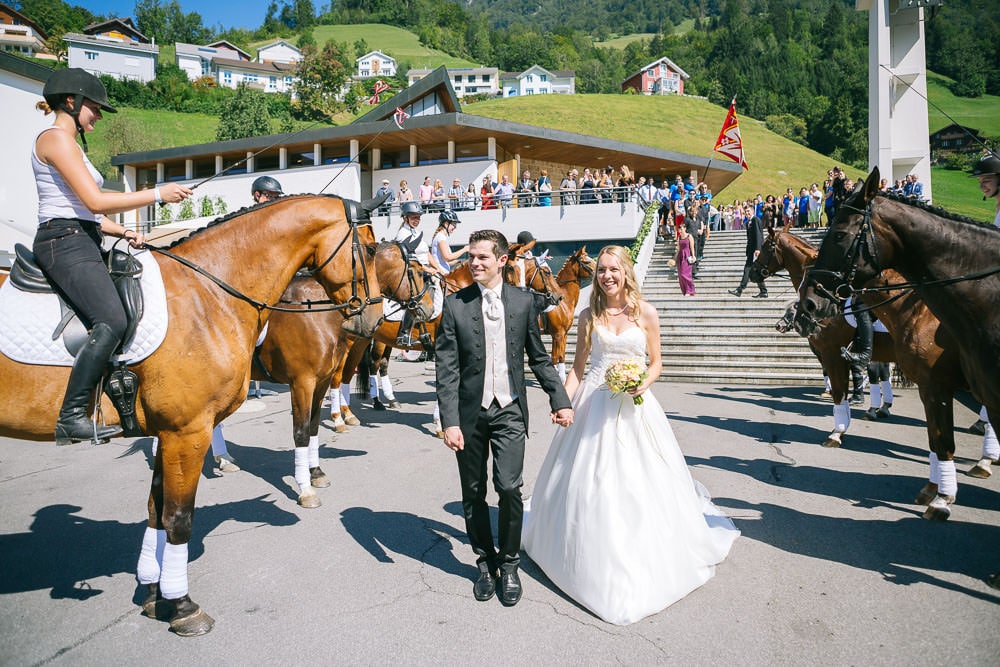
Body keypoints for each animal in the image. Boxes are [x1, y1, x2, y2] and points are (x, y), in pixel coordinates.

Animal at [0, 194, 382, 636]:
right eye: (370, 248)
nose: (375, 318)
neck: (208, 293)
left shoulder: (178, 429)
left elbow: (156, 510)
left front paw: (153, 594)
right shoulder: (197, 426)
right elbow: (180, 516)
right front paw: (182, 605)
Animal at [252, 243, 432, 508]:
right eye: (419, 272)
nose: (430, 309)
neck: (315, 311)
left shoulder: (321, 380)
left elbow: (313, 426)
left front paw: (315, 472)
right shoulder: (302, 382)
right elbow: (301, 431)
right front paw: (305, 488)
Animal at [752, 227, 972, 520]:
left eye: (766, 245)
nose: (754, 272)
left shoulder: (832, 353)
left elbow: (840, 392)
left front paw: (837, 432)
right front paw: (868, 411)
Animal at [796, 171, 1000, 528]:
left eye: (838, 234)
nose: (808, 306)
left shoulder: (932, 384)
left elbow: (940, 439)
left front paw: (942, 499)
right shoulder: (930, 385)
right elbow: (934, 437)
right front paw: (933, 489)